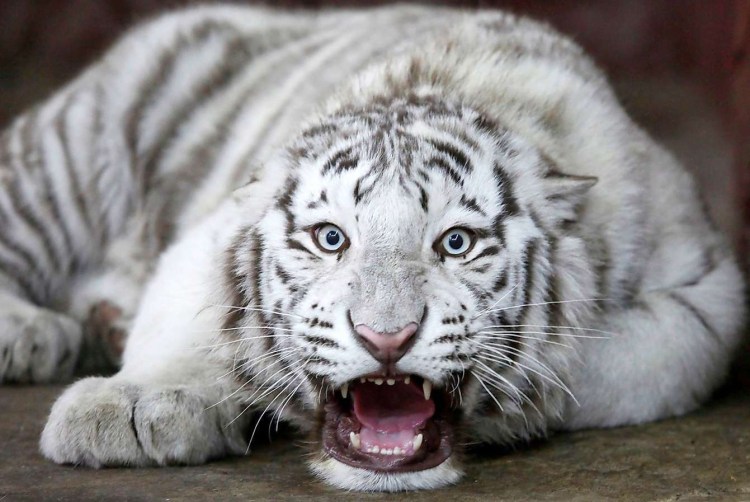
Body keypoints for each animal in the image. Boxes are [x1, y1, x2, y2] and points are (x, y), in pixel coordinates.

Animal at [0, 3, 742, 492]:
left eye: (456, 243)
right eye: (331, 239)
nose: (387, 338)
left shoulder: (710, 295)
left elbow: (602, 363)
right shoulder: (210, 231)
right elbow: (187, 323)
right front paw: (124, 410)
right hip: (71, 152)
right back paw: (30, 333)